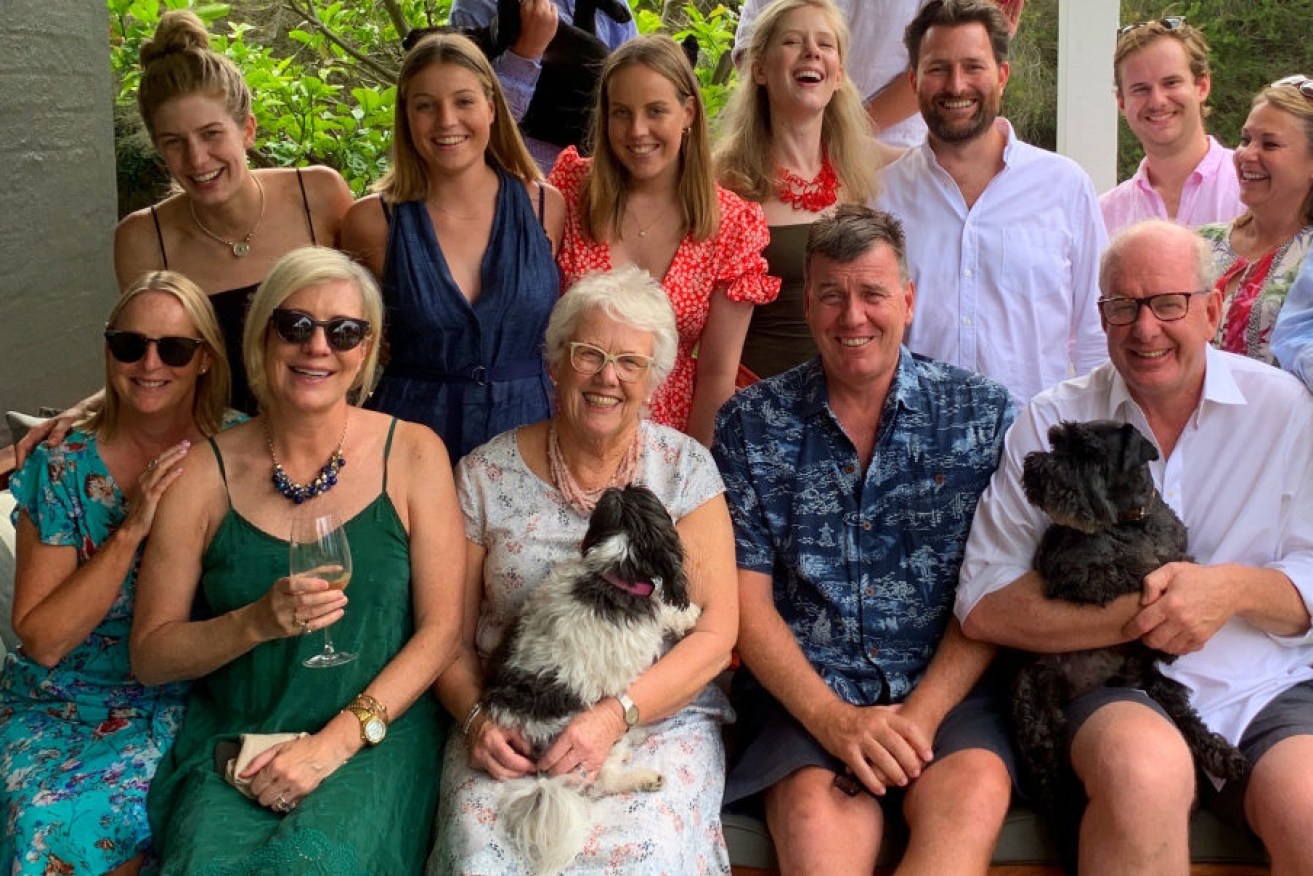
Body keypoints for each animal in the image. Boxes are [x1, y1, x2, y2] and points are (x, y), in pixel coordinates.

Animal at [1008, 422, 1244, 872]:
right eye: (1056, 441)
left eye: (1087, 451)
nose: (1033, 468)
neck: (1132, 522)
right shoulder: (1073, 576)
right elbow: (1132, 569)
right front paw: (1151, 568)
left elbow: (1175, 563)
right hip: (1039, 723)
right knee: (1056, 794)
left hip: (1155, 685)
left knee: (1188, 721)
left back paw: (1223, 754)